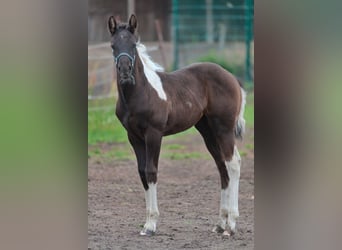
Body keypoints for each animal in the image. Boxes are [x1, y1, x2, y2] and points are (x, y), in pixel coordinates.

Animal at [108, 14, 244, 237]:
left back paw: (231, 225)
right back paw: (220, 224)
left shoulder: (154, 134)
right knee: (222, 165)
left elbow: (151, 171)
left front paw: (151, 225)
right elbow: (142, 172)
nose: (125, 71)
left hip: (224, 128)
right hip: (208, 131)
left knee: (233, 163)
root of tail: (231, 77)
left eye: (133, 44)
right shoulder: (134, 137)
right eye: (113, 46)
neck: (140, 93)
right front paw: (146, 224)